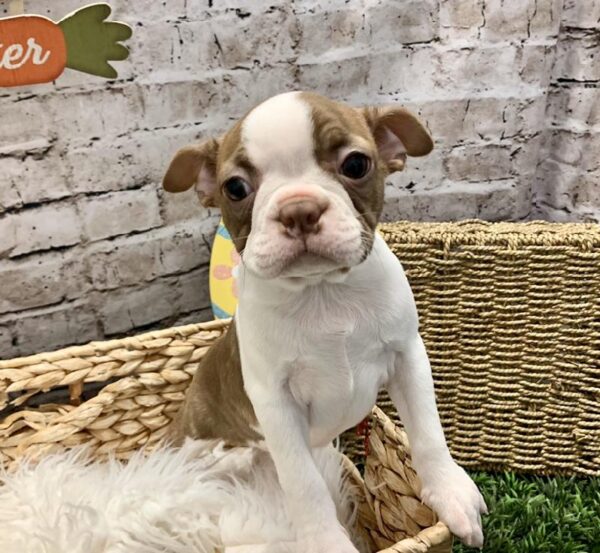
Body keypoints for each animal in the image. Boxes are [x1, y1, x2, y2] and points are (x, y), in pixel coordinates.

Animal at [164, 92, 488, 548]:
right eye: (236, 188)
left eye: (355, 164)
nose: (299, 209)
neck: (323, 293)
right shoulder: (276, 403)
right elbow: (304, 484)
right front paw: (326, 543)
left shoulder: (408, 357)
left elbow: (428, 431)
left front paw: (450, 492)